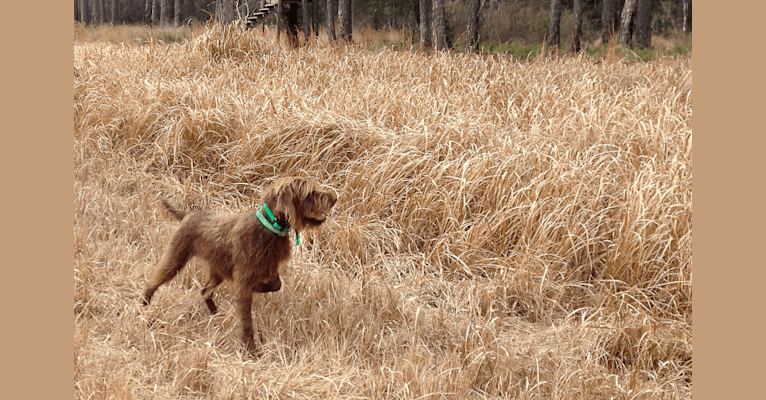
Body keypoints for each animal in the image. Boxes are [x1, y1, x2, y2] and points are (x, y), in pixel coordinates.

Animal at [142, 178, 340, 354]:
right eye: (310, 192)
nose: (334, 197)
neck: (269, 227)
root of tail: (188, 215)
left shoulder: (269, 268)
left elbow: (276, 284)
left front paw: (260, 287)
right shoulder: (244, 278)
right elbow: (246, 319)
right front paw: (251, 350)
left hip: (217, 270)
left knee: (205, 290)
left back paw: (215, 312)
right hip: (176, 258)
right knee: (154, 281)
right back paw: (144, 306)